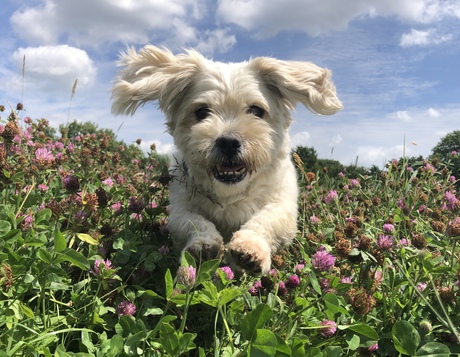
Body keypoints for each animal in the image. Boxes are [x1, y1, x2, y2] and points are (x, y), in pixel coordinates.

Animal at [111, 46, 342, 274]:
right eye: (202, 112)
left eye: (256, 110)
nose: (229, 142)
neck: (230, 192)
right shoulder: (179, 207)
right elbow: (193, 222)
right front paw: (202, 245)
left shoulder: (283, 204)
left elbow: (267, 219)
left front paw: (249, 247)